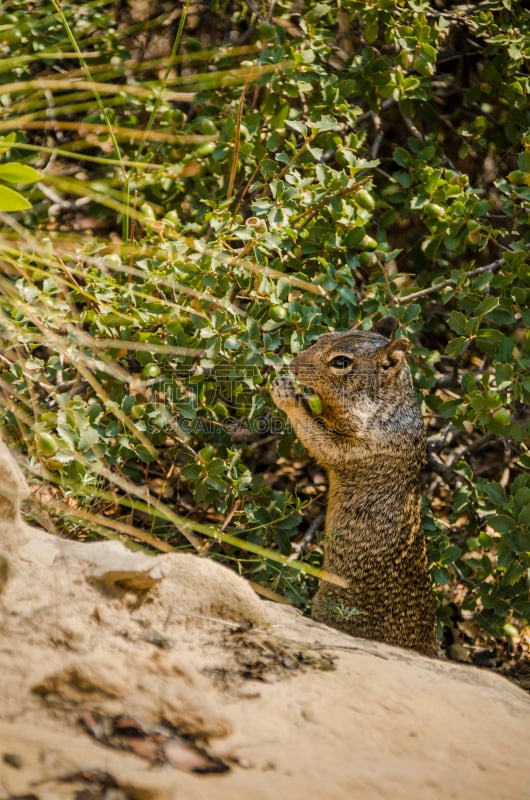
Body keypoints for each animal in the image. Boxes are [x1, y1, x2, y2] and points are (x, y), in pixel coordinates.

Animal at [270, 316, 436, 660]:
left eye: (341, 362)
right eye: (324, 335)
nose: (293, 364)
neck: (388, 409)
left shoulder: (360, 447)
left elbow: (322, 444)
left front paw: (287, 394)